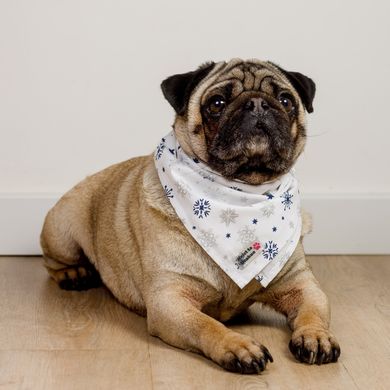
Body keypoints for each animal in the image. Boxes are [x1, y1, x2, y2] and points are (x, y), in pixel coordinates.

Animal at [39, 58, 338, 374]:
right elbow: (206, 325)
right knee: (53, 262)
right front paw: (238, 346)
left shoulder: (301, 285)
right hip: (62, 230)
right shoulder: (170, 301)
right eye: (217, 103)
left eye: (285, 100)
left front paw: (316, 336)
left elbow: (313, 312)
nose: (257, 103)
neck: (242, 193)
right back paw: (74, 274)